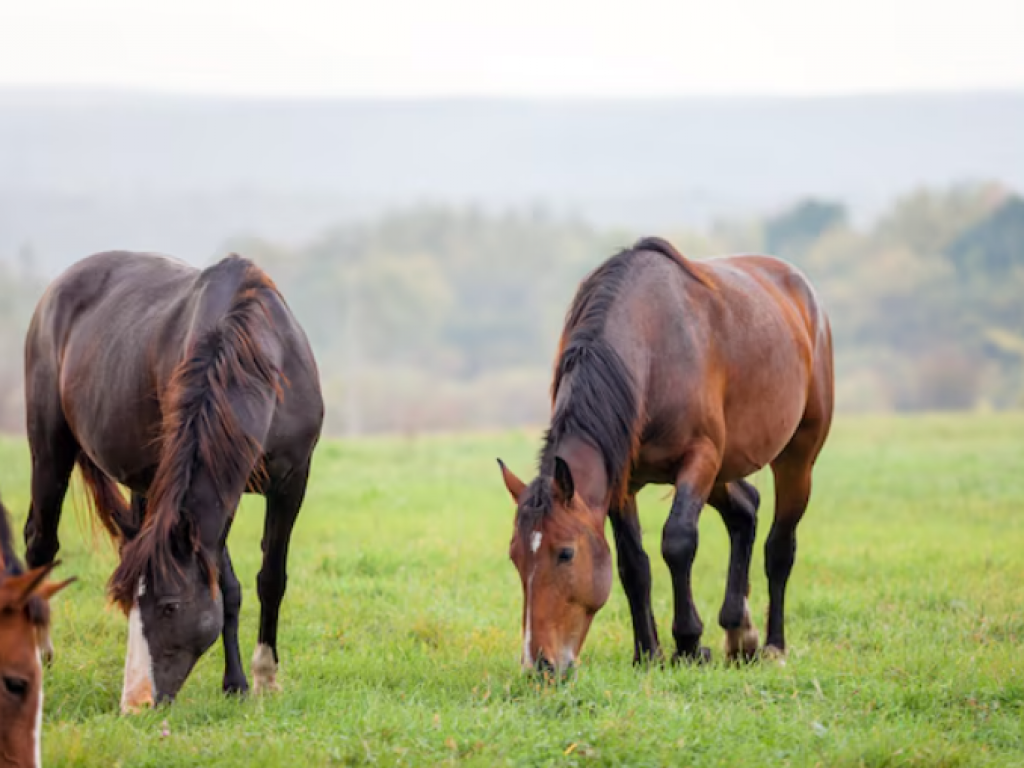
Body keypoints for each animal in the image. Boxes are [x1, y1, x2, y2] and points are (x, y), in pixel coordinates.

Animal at [24, 250, 321, 708]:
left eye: (170, 607)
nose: (136, 704)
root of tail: (55, 290)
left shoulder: (292, 480)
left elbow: (271, 579)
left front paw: (264, 678)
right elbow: (227, 588)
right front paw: (237, 683)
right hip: (50, 449)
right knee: (40, 544)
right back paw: (37, 654)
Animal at [499, 237, 835, 675]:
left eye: (565, 553)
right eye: (515, 557)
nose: (539, 664)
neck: (651, 351)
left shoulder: (699, 460)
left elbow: (677, 542)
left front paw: (688, 644)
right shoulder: (621, 482)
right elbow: (632, 564)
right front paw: (648, 651)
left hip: (795, 457)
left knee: (779, 546)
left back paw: (773, 645)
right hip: (724, 471)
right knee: (745, 511)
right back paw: (739, 631)